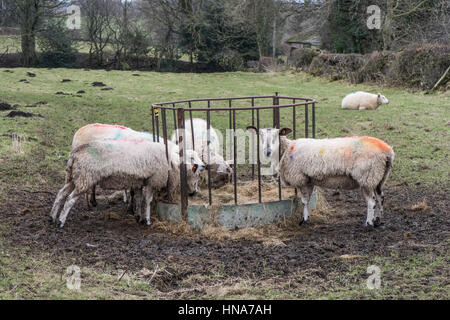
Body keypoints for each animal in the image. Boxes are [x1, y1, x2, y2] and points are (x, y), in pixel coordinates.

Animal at [49, 138, 204, 228]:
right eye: (196, 172)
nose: (194, 192)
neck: (171, 162)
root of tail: (75, 153)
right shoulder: (152, 180)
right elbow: (147, 201)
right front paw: (148, 220)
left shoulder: (140, 181)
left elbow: (139, 199)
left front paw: (139, 217)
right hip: (85, 177)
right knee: (70, 199)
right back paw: (61, 221)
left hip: (74, 177)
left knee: (61, 194)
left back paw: (52, 217)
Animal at [246, 125, 394, 228]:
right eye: (260, 135)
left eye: (277, 135)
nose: (267, 152)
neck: (287, 150)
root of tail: (388, 151)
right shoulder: (309, 180)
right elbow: (307, 201)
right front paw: (307, 218)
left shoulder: (301, 178)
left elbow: (304, 201)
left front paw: (304, 220)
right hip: (379, 178)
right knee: (381, 198)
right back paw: (378, 220)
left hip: (366, 177)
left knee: (371, 202)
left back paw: (369, 223)